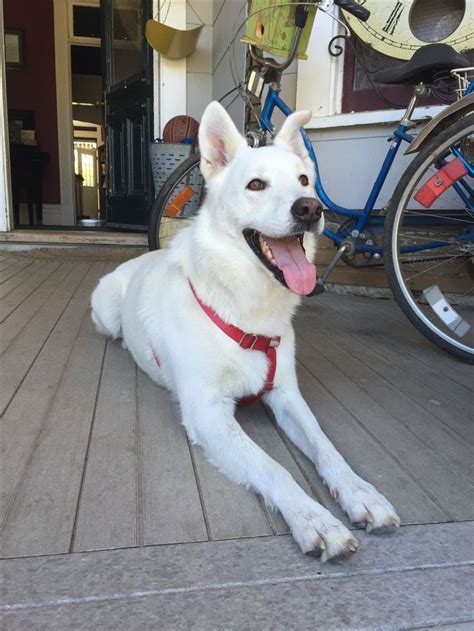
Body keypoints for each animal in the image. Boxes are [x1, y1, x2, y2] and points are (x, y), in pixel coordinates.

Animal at [90, 103, 398, 564]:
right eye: (256, 184)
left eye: (304, 181)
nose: (310, 209)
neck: (247, 310)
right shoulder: (208, 414)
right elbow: (274, 467)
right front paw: (315, 520)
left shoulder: (287, 395)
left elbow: (325, 446)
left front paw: (360, 492)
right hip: (106, 308)